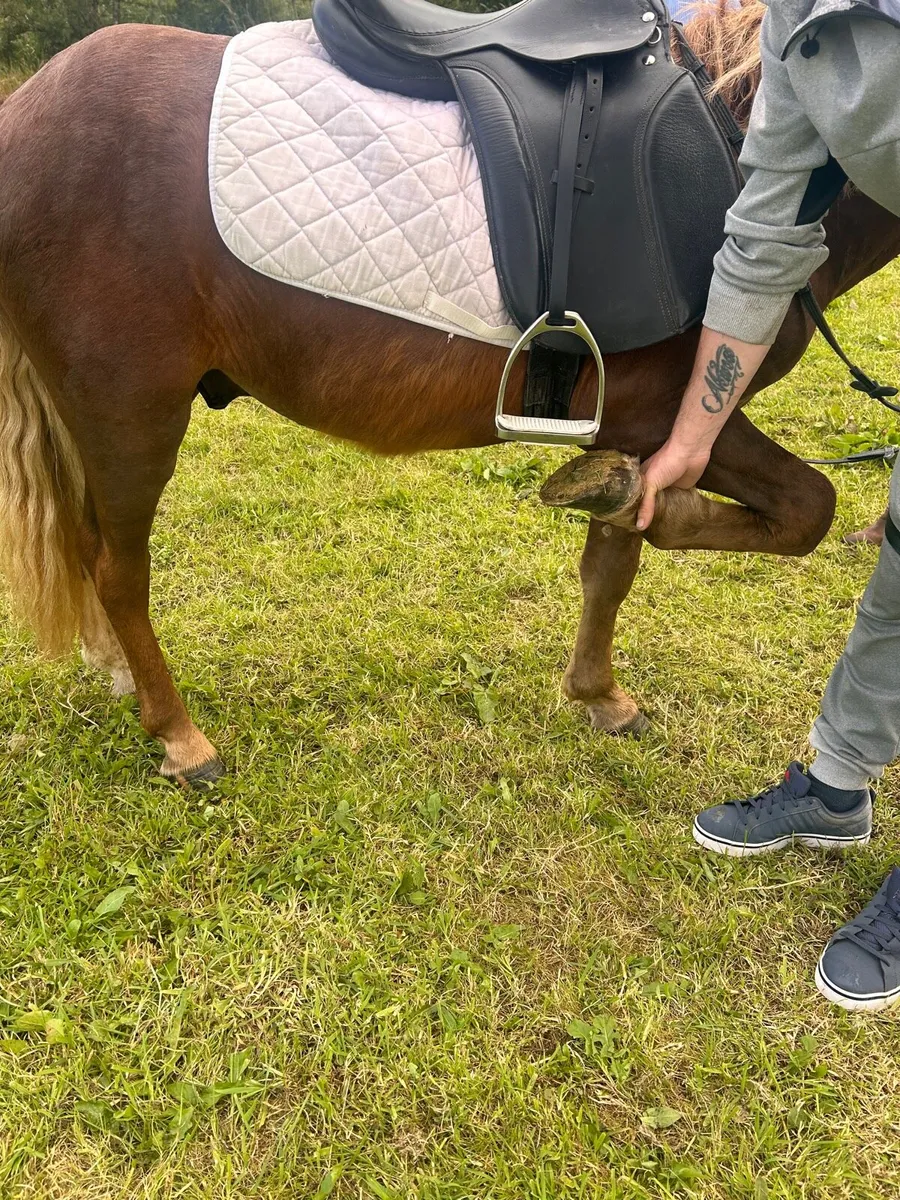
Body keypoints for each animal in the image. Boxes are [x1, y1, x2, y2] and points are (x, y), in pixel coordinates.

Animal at [0, 1, 898, 787]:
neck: (736, 138)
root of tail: (26, 107)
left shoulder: (639, 427)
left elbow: (614, 560)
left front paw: (599, 691)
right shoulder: (680, 415)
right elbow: (805, 507)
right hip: (132, 417)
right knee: (119, 571)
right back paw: (181, 737)